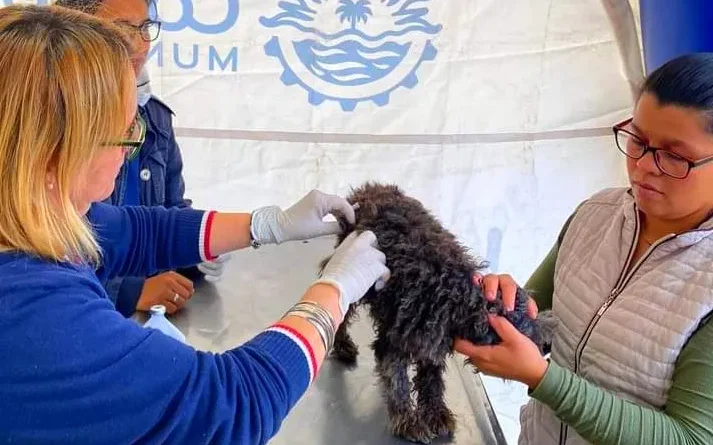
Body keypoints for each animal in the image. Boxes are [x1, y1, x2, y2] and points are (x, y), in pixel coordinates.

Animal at [319, 182, 555, 444]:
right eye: (527, 330)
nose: (548, 344)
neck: (454, 295)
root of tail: (370, 189)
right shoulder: (391, 345)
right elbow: (398, 383)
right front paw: (407, 421)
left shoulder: (433, 344)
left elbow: (431, 379)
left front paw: (436, 412)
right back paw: (342, 345)